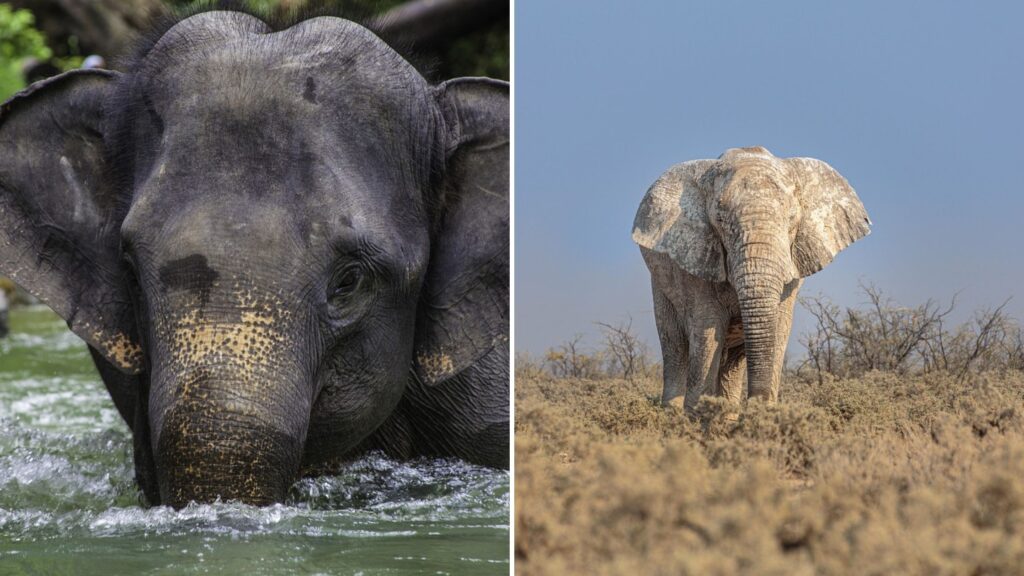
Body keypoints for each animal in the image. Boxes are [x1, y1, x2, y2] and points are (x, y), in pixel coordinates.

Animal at [634, 145, 868, 409]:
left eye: (791, 219)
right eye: (720, 221)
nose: (756, 402)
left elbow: (779, 329)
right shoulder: (695, 260)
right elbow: (707, 330)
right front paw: (697, 414)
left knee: (732, 362)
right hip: (660, 286)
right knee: (675, 346)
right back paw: (672, 411)